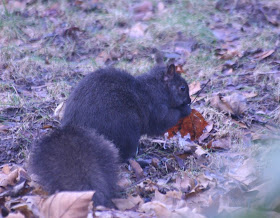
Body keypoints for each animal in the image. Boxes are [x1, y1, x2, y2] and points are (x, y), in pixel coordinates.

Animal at [62, 63, 191, 160]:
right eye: (182, 88)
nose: (189, 100)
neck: (157, 88)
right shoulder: (157, 109)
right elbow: (164, 121)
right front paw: (185, 110)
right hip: (126, 128)